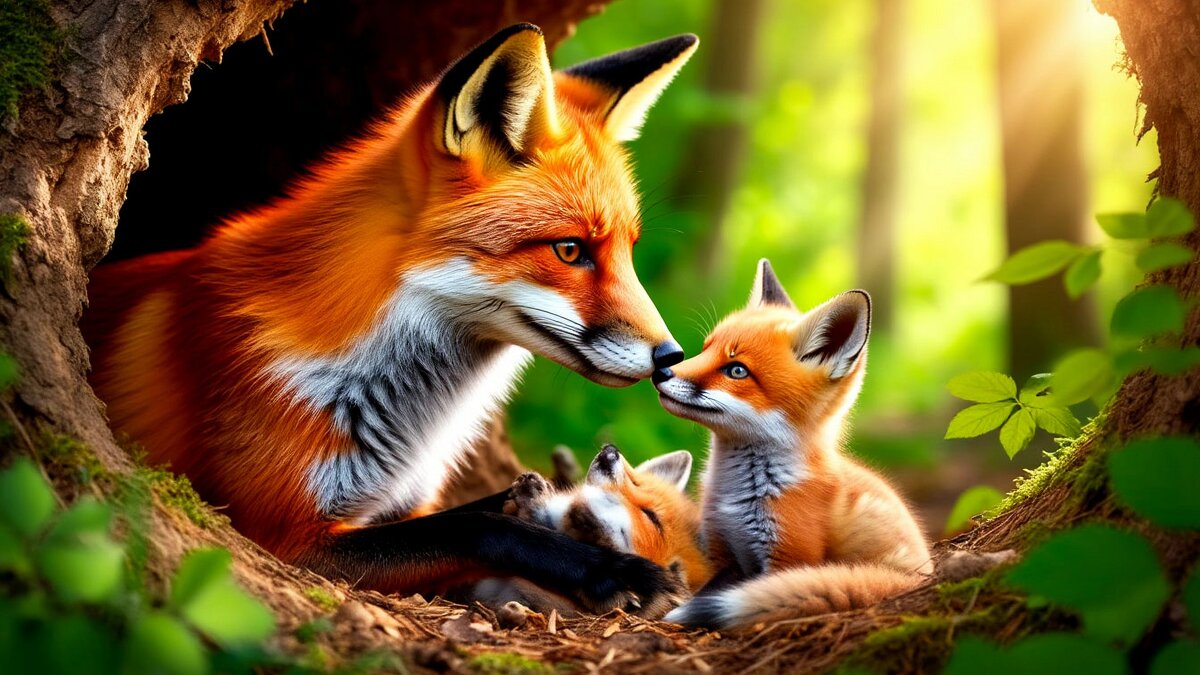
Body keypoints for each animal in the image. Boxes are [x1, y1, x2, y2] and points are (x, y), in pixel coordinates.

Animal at [81, 24, 698, 612]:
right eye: (570, 251)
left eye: (627, 250)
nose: (671, 358)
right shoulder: (283, 537)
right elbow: (474, 526)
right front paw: (611, 571)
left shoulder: (410, 501)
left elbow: (486, 509)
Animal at [649, 259, 933, 629]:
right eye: (705, 348)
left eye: (736, 371)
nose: (660, 372)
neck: (739, 496)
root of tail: (924, 575)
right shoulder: (723, 552)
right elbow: (706, 588)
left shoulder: (789, 556)